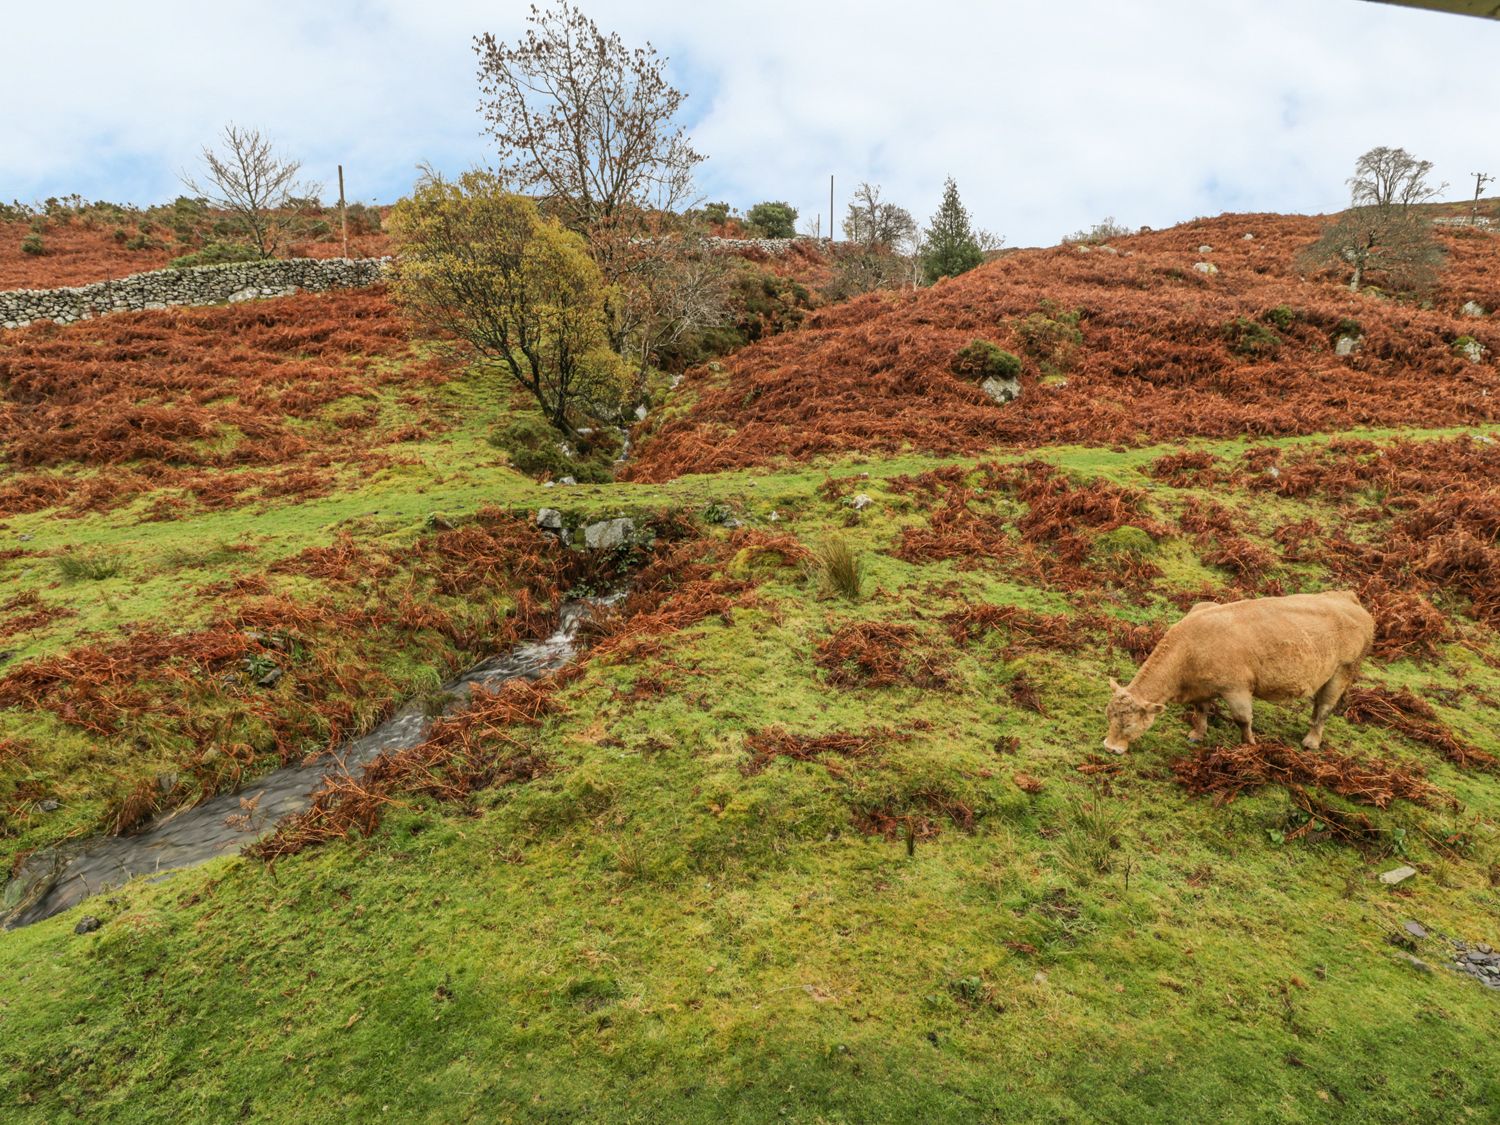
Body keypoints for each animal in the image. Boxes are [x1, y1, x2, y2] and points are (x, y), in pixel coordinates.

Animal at [1104, 591, 1374, 759]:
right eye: (1109, 716)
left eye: (1128, 724)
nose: (1109, 748)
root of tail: (1349, 599)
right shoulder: (1202, 687)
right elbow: (1201, 710)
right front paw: (1197, 735)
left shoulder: (1237, 688)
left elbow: (1243, 719)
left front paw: (1249, 746)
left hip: (1343, 670)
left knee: (1325, 708)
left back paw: (1312, 741)